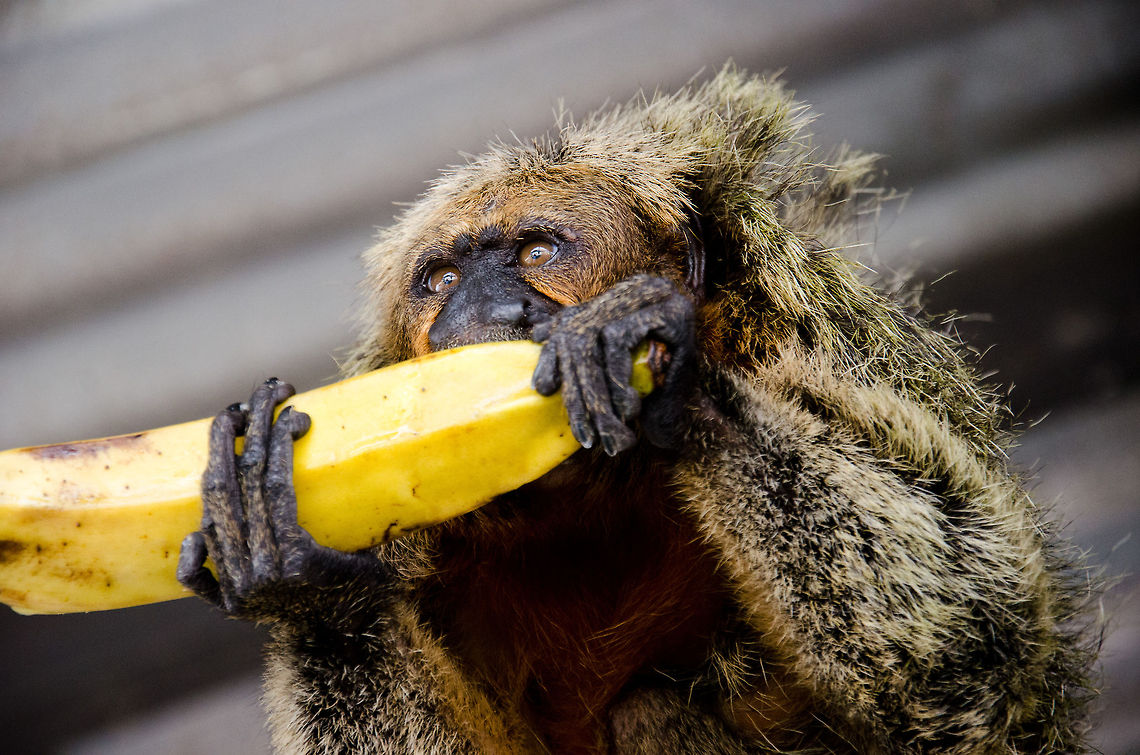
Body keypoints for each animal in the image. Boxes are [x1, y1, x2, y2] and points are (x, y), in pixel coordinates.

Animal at [177, 67, 1098, 753]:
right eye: (442, 279)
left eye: (536, 252)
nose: (481, 313)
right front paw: (297, 565)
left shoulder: (825, 347)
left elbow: (978, 666)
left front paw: (659, 372)